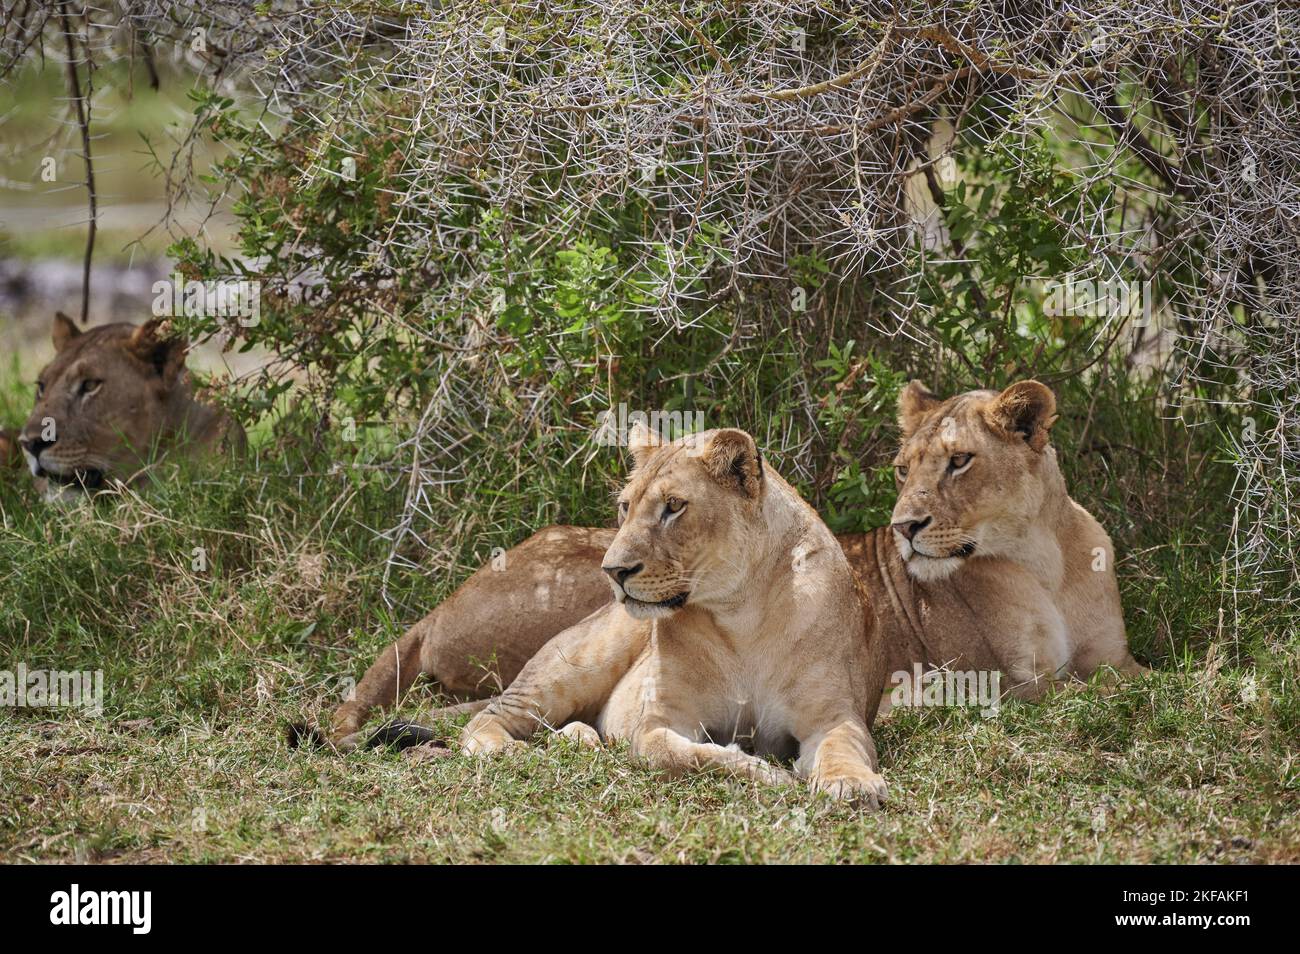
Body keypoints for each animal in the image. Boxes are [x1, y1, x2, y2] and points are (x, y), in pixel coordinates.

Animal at [315, 378, 1143, 750]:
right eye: (904, 467)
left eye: (960, 462)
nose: (905, 526)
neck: (1046, 556)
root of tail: (439, 608)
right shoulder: (1007, 678)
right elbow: (1081, 689)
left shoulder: (1112, 657)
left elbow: (1153, 674)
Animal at [459, 425, 888, 803]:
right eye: (626, 506)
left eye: (675, 506)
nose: (612, 570)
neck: (741, 617)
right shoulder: (659, 725)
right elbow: (689, 756)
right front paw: (769, 773)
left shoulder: (832, 716)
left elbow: (842, 746)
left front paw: (851, 783)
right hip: (574, 667)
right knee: (486, 719)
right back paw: (504, 749)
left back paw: (581, 739)